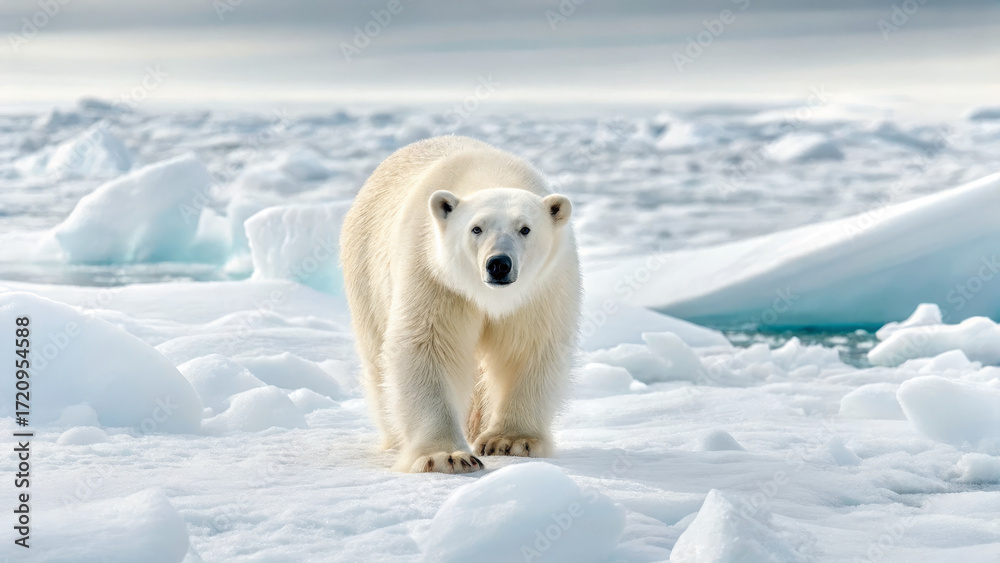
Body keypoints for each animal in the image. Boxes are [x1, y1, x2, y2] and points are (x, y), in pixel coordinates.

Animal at [340, 136, 580, 473]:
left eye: (525, 228)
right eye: (476, 228)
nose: (498, 264)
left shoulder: (540, 290)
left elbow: (529, 345)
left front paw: (510, 441)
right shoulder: (435, 275)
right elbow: (428, 346)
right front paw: (447, 457)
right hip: (366, 274)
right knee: (378, 360)